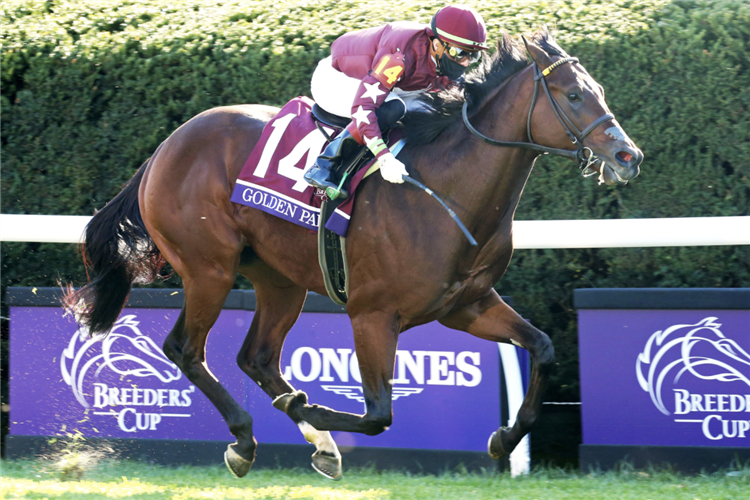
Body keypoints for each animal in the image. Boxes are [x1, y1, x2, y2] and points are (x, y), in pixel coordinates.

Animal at [64, 28, 644, 480]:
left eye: (598, 90)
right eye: (573, 95)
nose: (628, 156)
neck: (447, 191)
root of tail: (165, 147)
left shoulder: (467, 305)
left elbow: (542, 347)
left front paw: (504, 439)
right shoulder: (372, 315)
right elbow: (378, 414)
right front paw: (309, 407)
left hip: (278, 278)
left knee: (256, 356)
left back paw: (313, 442)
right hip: (209, 268)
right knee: (185, 348)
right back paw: (247, 439)